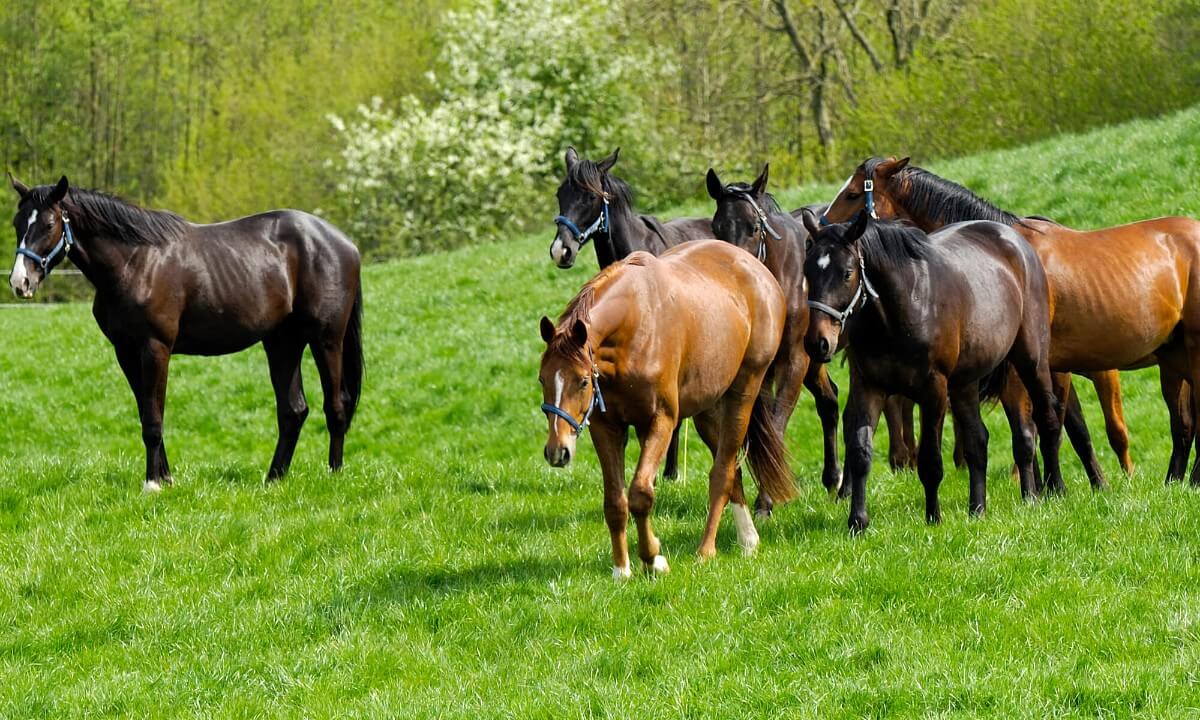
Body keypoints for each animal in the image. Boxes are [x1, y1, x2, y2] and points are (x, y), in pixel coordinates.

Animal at [7, 175, 363, 492]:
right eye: (17, 223)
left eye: (49, 225)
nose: (19, 282)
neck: (135, 262)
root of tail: (343, 243)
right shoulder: (126, 352)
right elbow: (147, 413)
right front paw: (166, 478)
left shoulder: (155, 348)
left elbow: (153, 420)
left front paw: (152, 483)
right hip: (282, 343)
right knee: (293, 411)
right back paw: (274, 479)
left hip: (326, 340)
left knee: (336, 405)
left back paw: (334, 475)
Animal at [538, 241, 794, 577]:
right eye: (542, 379)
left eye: (582, 381)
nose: (558, 451)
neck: (635, 324)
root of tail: (759, 271)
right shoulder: (607, 427)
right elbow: (615, 501)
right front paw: (621, 569)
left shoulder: (661, 421)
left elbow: (640, 493)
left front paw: (653, 558)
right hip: (706, 410)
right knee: (731, 470)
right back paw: (748, 539)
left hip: (742, 395)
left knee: (723, 472)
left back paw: (706, 550)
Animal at [802, 212, 1064, 531]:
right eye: (807, 271)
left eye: (847, 273)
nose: (817, 343)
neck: (902, 309)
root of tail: (1017, 242)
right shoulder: (868, 387)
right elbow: (860, 452)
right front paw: (858, 521)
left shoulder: (933, 391)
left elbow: (930, 460)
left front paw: (933, 517)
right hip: (966, 383)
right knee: (978, 441)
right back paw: (978, 508)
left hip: (1030, 363)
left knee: (1044, 420)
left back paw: (1051, 491)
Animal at [822, 156, 1200, 485]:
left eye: (852, 193)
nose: (821, 232)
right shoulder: (1054, 369)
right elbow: (1073, 429)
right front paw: (1090, 484)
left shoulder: (1033, 369)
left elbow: (1041, 429)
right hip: (1172, 360)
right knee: (1183, 424)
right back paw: (1175, 479)